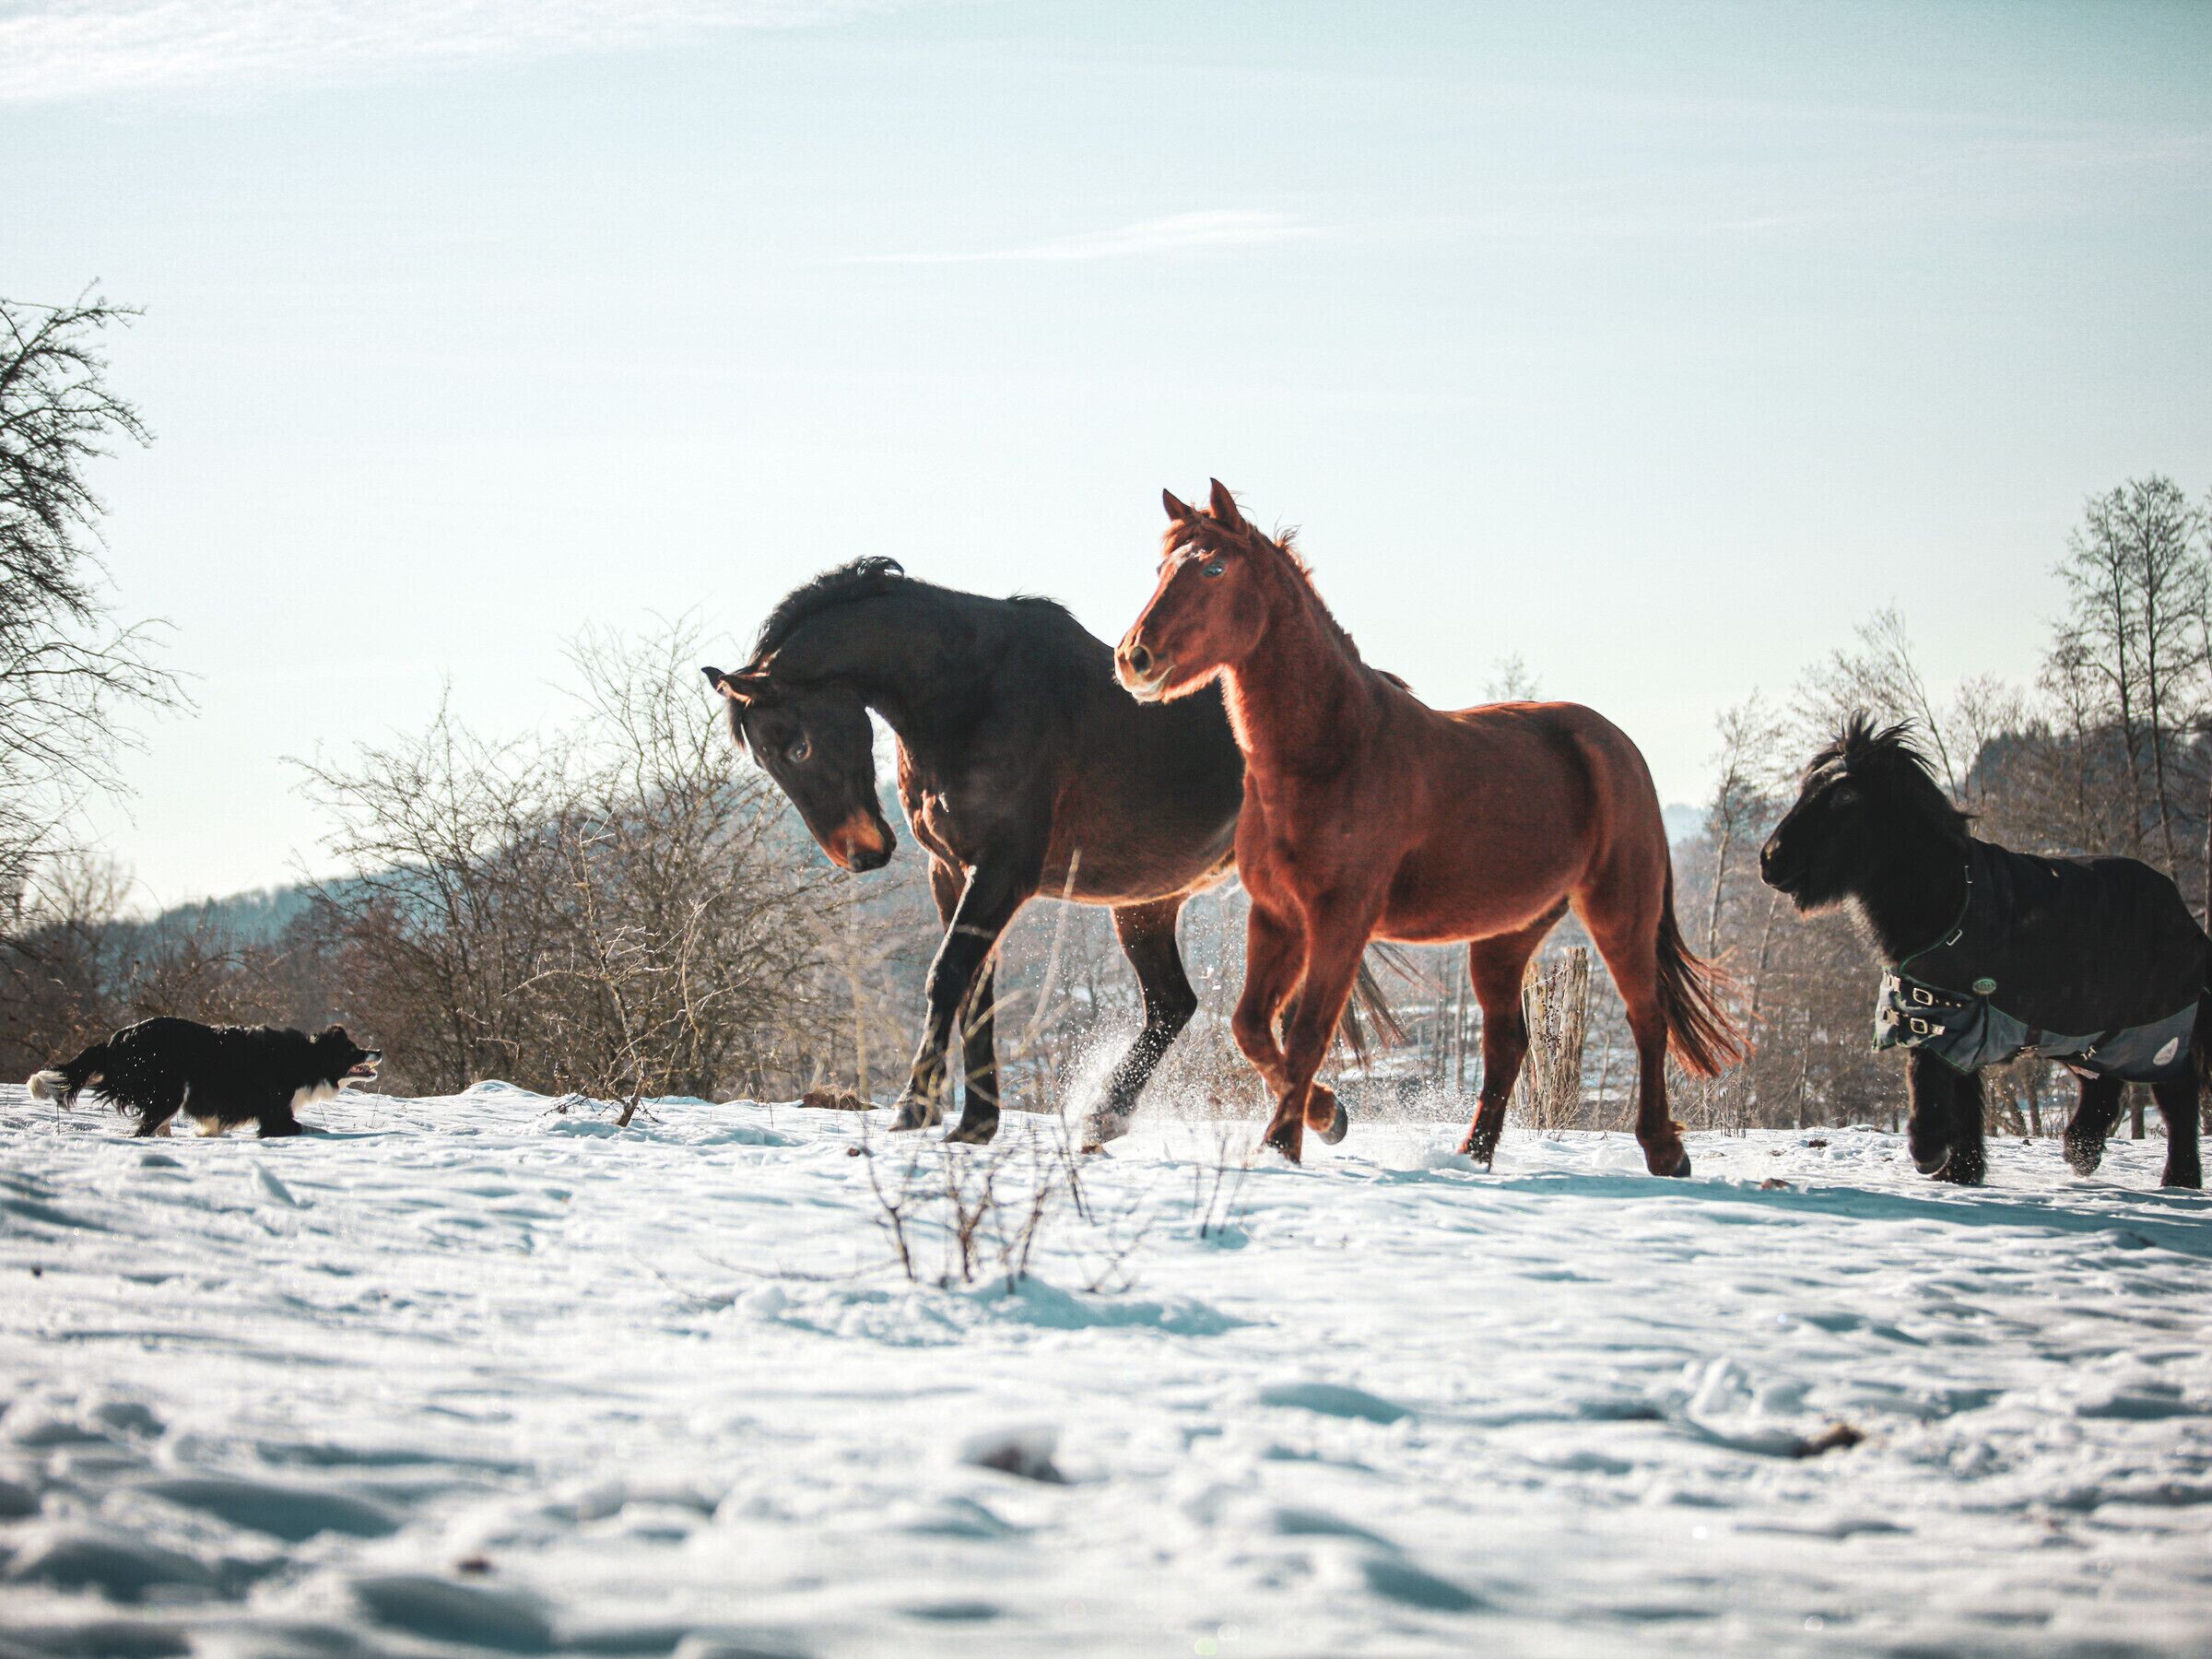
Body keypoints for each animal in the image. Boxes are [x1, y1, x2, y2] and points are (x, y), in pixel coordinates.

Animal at [703, 557, 1397, 1147]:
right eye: (765, 760)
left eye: (798, 747)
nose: (861, 853)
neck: (971, 694)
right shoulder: (950, 871)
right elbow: (976, 990)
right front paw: (975, 1123)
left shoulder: (1005, 870)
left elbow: (947, 974)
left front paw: (915, 1107)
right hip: (1146, 902)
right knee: (1175, 1005)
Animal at [1114, 480, 1743, 1171]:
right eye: (1162, 569)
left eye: (1214, 568)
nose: (1134, 658)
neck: (1332, 752)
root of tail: (1618, 747)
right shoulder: (1277, 916)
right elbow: (1251, 1028)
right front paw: (1324, 1117)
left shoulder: (1341, 919)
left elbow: (1307, 1033)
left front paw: (1283, 1144)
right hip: (1507, 934)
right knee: (1507, 1043)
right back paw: (1474, 1155)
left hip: (1619, 910)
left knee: (1646, 1018)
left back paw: (1665, 1152)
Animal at [1759, 715, 2206, 1189]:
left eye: (1845, 796)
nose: (1770, 860)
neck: (1949, 902)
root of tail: (2183, 913)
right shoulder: (1948, 1018)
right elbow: (1962, 1094)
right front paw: (1960, 1171)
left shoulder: (1947, 1015)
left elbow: (1929, 1077)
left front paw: (1930, 1154)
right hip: (2082, 1029)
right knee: (2103, 1084)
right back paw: (2081, 1152)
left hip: (2158, 1030)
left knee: (2176, 1094)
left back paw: (2178, 1178)